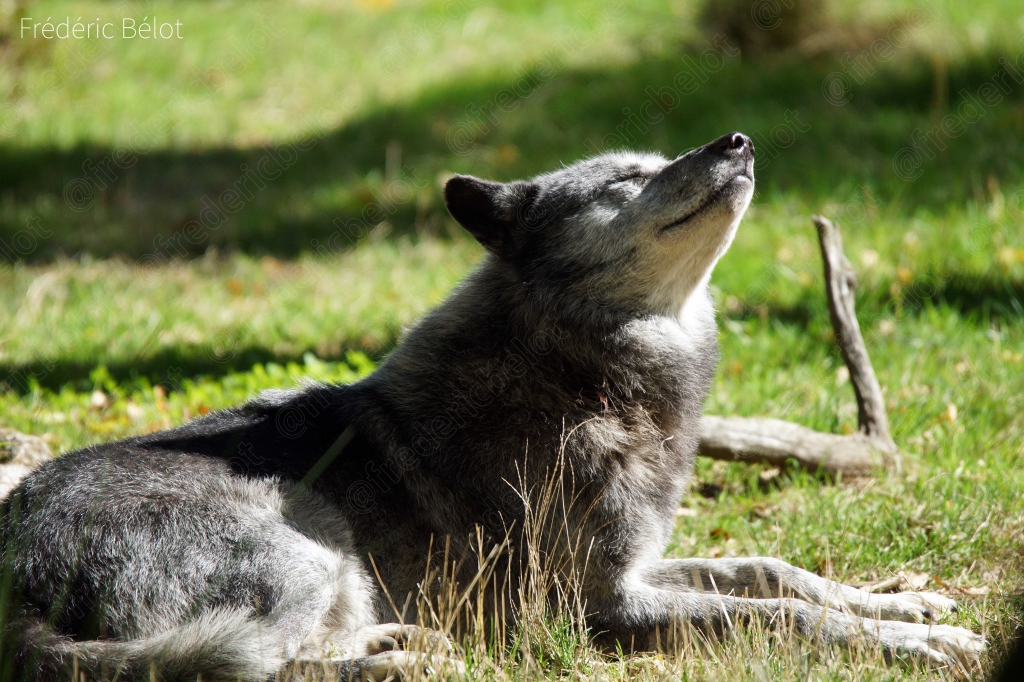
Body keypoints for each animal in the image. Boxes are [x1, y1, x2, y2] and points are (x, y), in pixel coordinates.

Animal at [1, 132, 983, 681]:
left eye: (656, 161)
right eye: (625, 181)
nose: (737, 141)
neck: (578, 372)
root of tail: (15, 573)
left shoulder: (637, 568)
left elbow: (770, 570)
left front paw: (906, 606)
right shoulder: (601, 607)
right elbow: (773, 615)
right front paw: (917, 649)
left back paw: (401, 646)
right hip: (312, 543)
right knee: (254, 667)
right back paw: (402, 665)